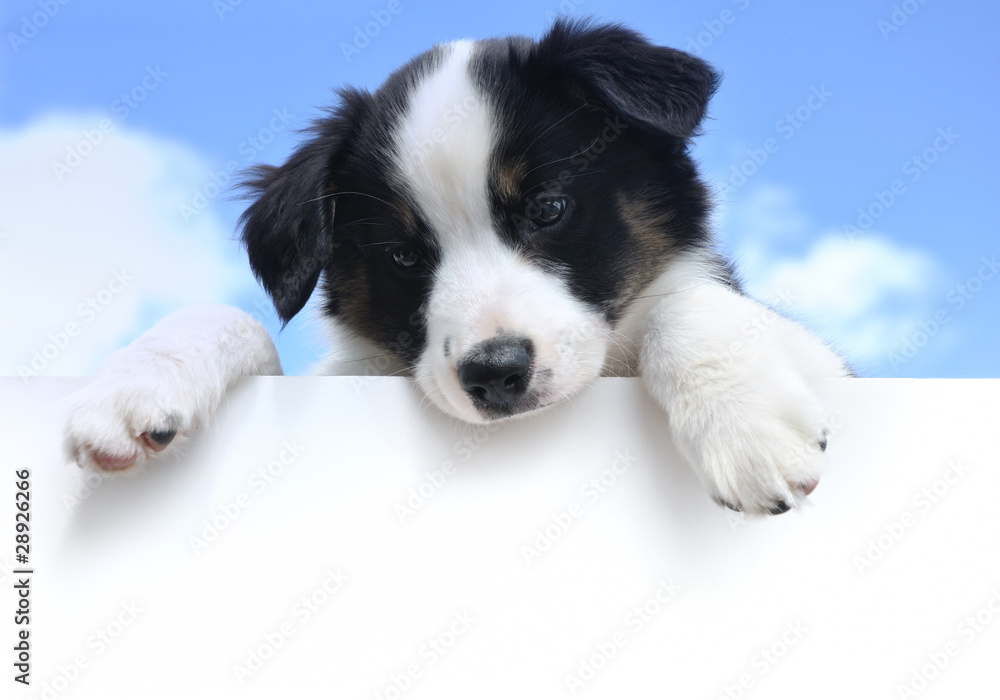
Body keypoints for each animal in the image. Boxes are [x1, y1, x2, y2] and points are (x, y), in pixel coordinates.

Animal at [62, 20, 848, 516]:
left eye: (548, 208)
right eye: (407, 255)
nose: (496, 374)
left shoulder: (827, 364)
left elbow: (685, 303)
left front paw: (748, 427)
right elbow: (230, 318)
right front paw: (136, 383)